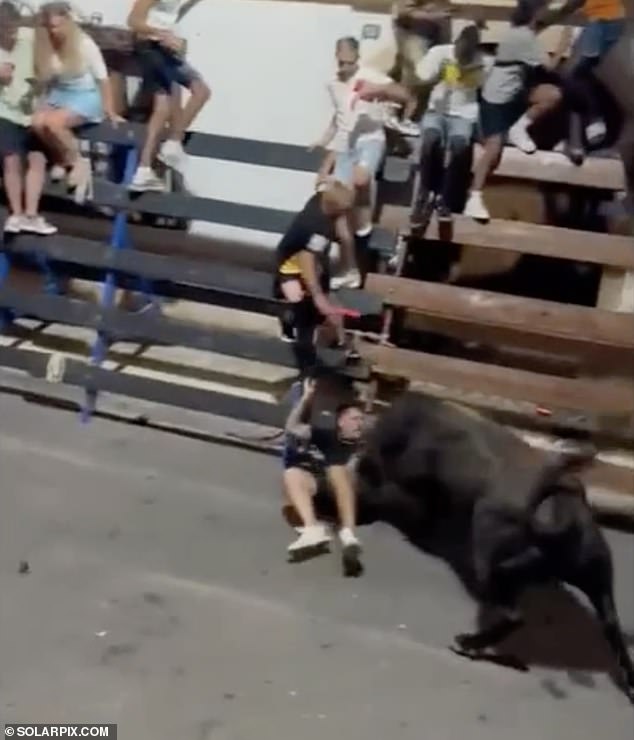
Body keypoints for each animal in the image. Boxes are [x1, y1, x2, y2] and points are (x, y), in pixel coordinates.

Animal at [354, 394, 632, 700]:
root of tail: (566, 514)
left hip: (489, 555)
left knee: (512, 614)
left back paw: (468, 643)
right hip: (600, 584)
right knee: (612, 628)